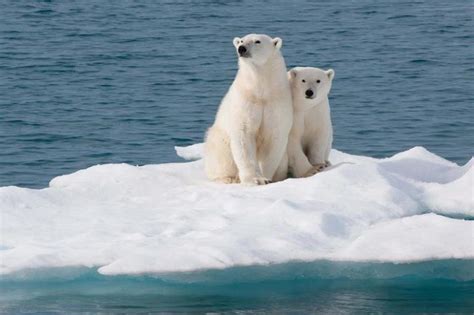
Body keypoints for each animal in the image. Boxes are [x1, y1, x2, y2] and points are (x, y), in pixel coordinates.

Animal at [204, 32, 292, 185]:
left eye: (257, 41)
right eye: (241, 41)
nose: (242, 48)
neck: (261, 90)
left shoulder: (277, 104)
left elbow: (274, 138)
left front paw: (266, 177)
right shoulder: (245, 101)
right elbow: (243, 135)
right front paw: (256, 179)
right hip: (219, 139)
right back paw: (228, 178)